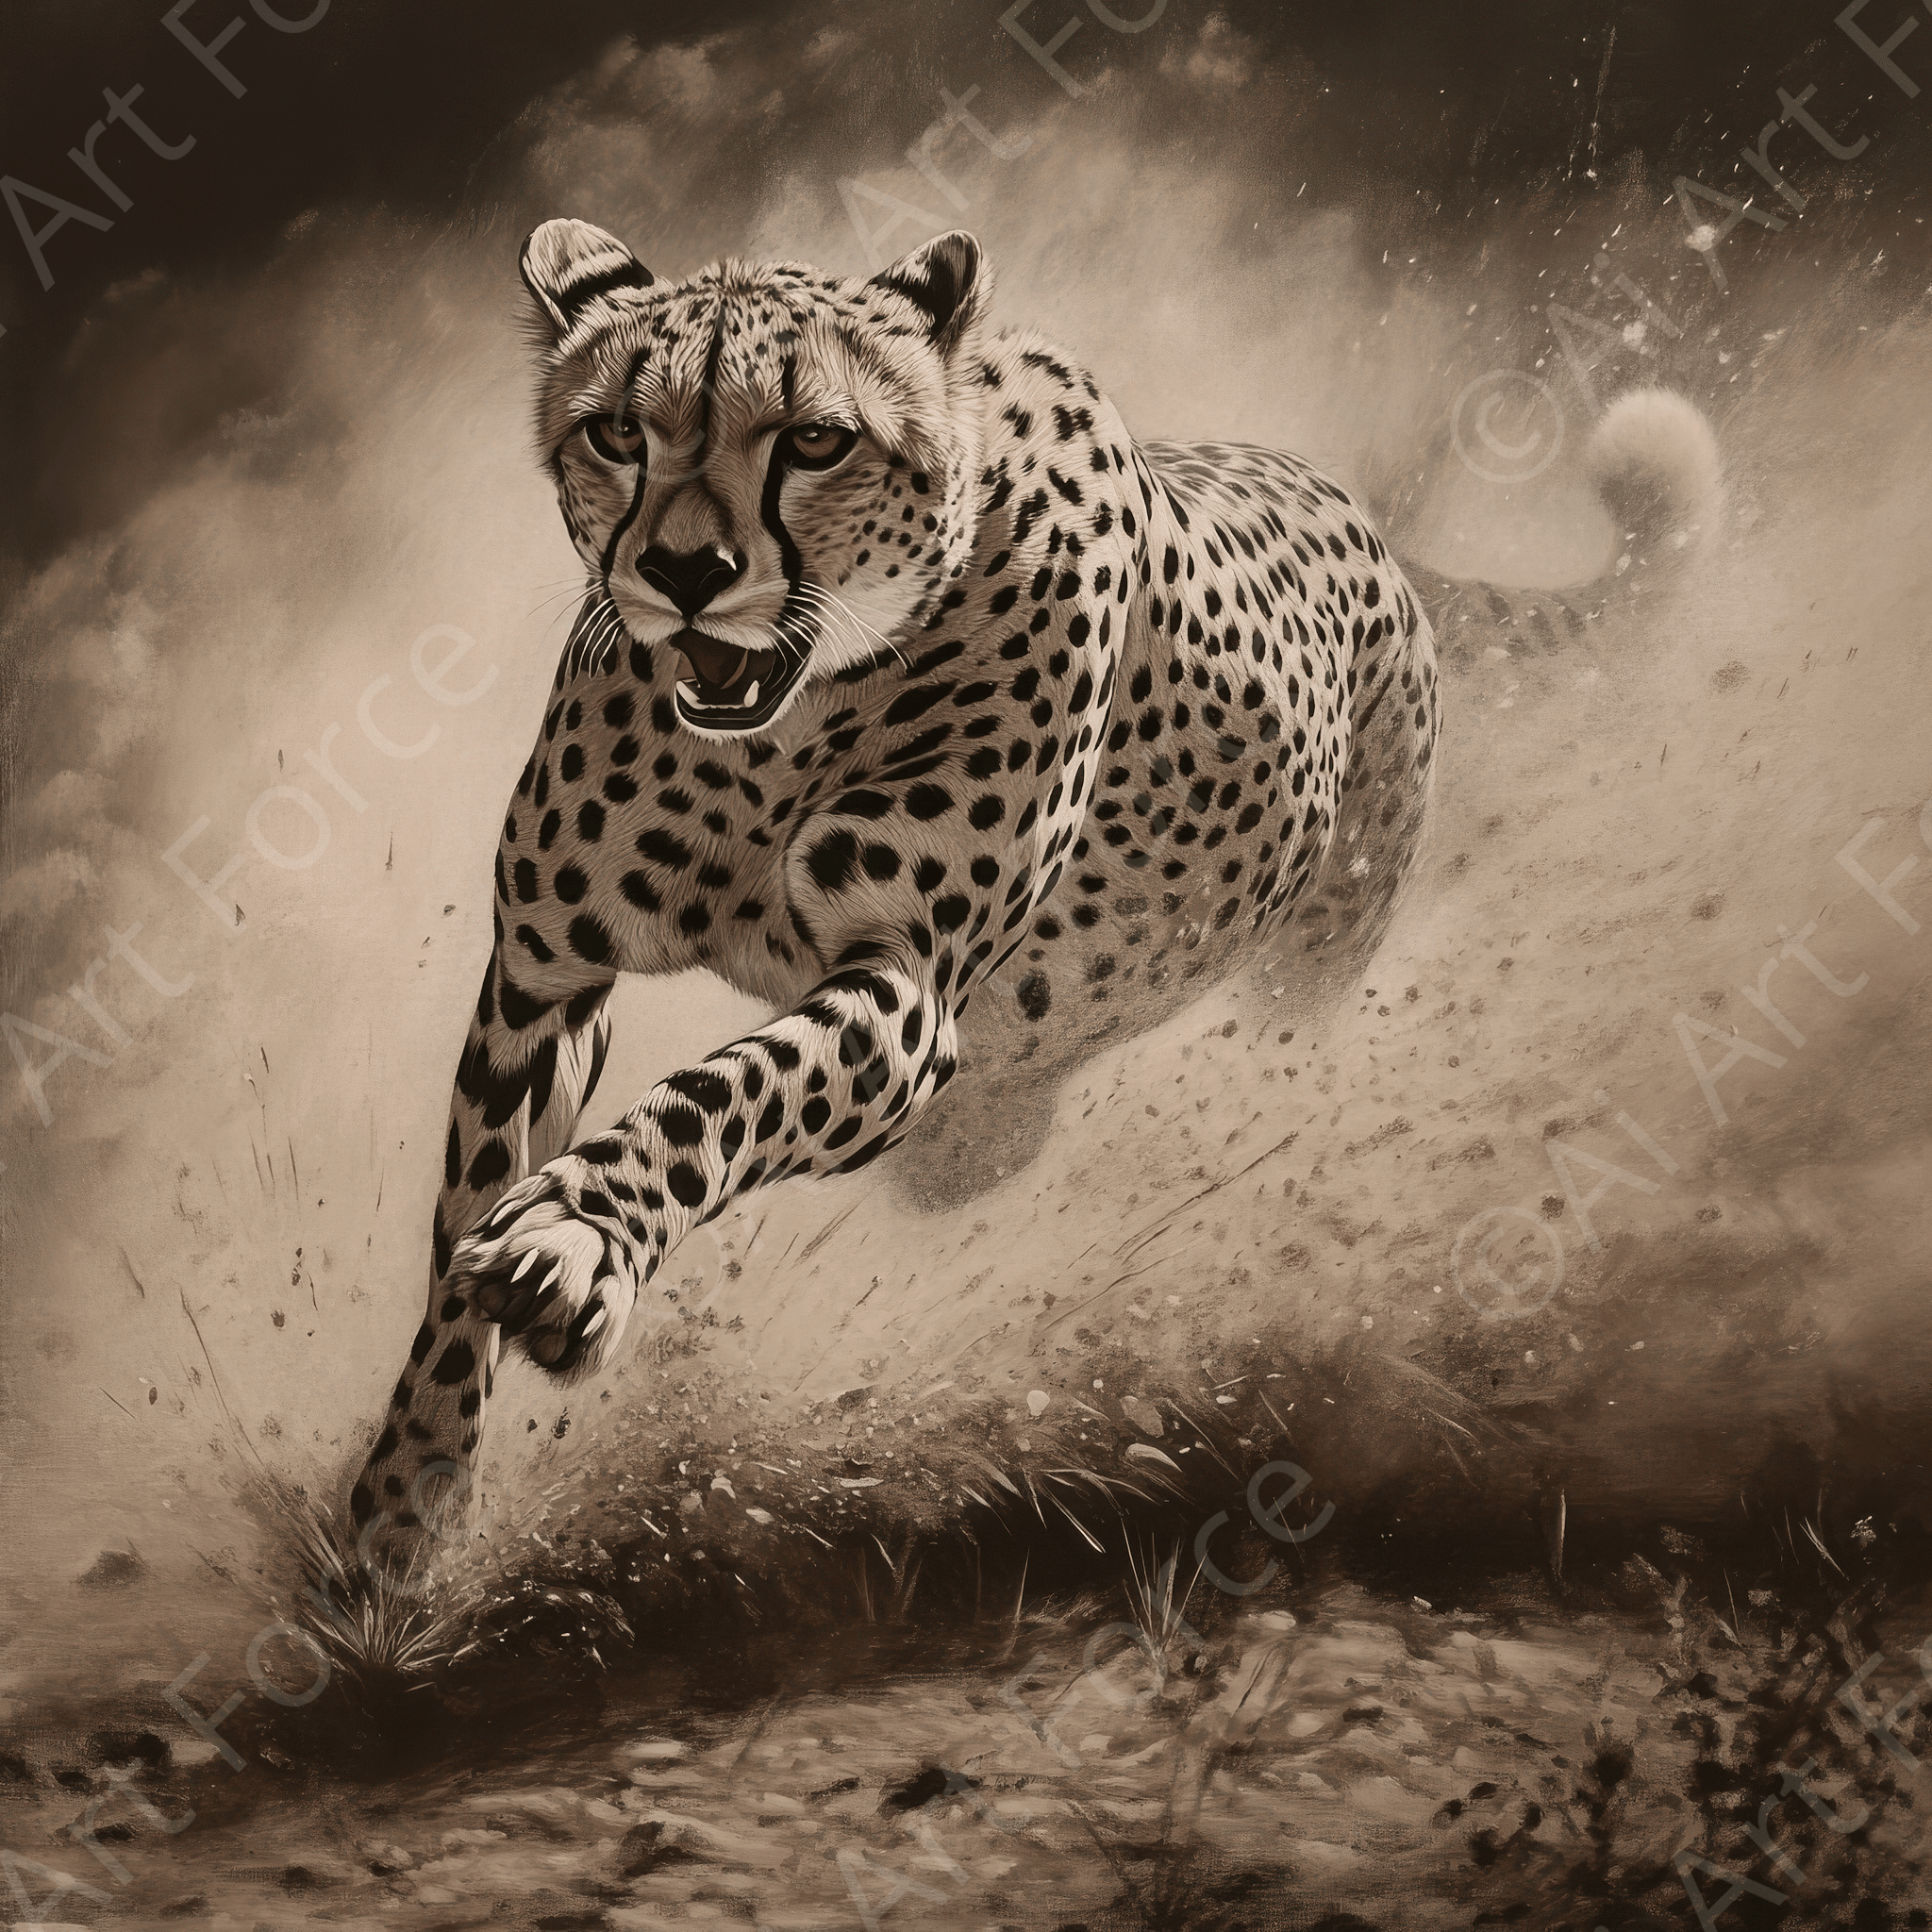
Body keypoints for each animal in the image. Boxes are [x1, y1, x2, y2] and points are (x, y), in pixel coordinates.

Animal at [349, 217, 1709, 1576]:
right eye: (619, 434)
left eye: (814, 441)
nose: (685, 571)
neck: (780, 729)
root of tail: (1354, 511)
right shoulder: (544, 970)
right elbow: (460, 1223)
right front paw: (407, 1503)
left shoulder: (905, 992)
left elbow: (716, 1100)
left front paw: (571, 1242)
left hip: (1301, 984)